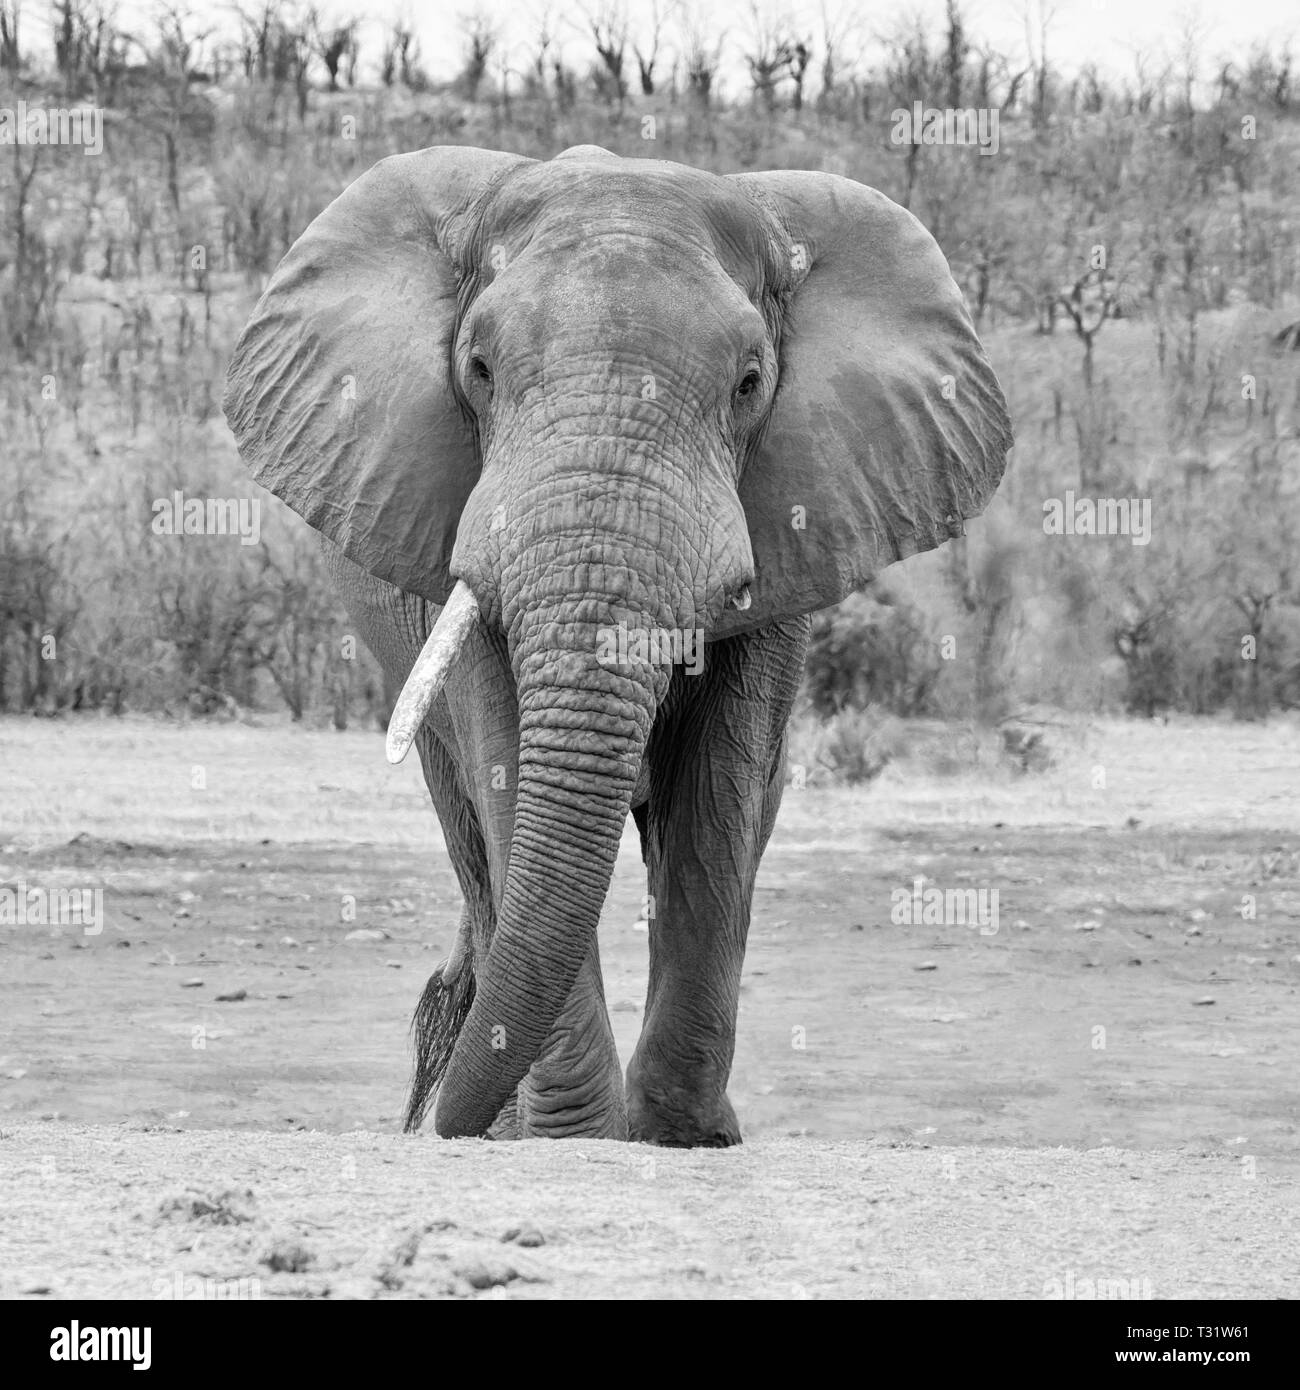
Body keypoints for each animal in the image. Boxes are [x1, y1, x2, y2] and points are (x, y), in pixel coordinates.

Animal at [221, 141, 1017, 1145]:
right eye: (477, 367)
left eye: (750, 384)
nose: (438, 1125)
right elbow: (506, 763)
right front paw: (574, 1137)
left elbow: (721, 787)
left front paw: (684, 1137)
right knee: (476, 844)